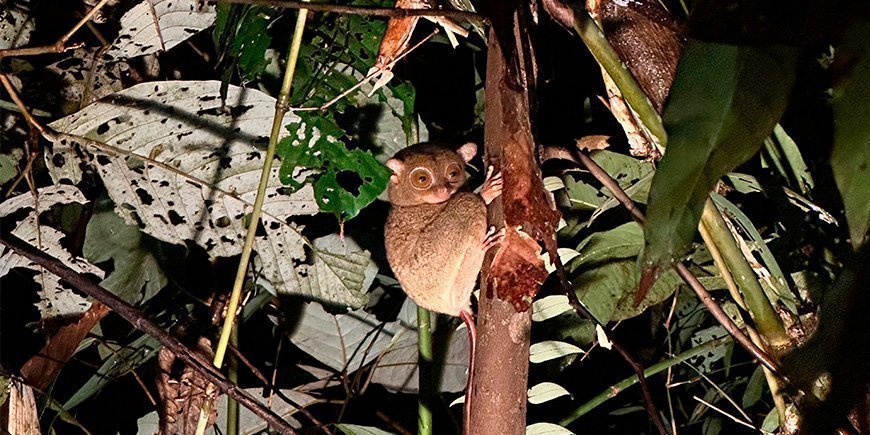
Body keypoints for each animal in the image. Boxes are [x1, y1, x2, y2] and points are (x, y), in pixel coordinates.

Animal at [384, 142, 503, 434]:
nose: (443, 191)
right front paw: (486, 191)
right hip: (436, 263)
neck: (414, 204)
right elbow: (468, 200)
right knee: (466, 204)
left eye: (453, 173)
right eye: (422, 179)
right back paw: (481, 243)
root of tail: (454, 306)